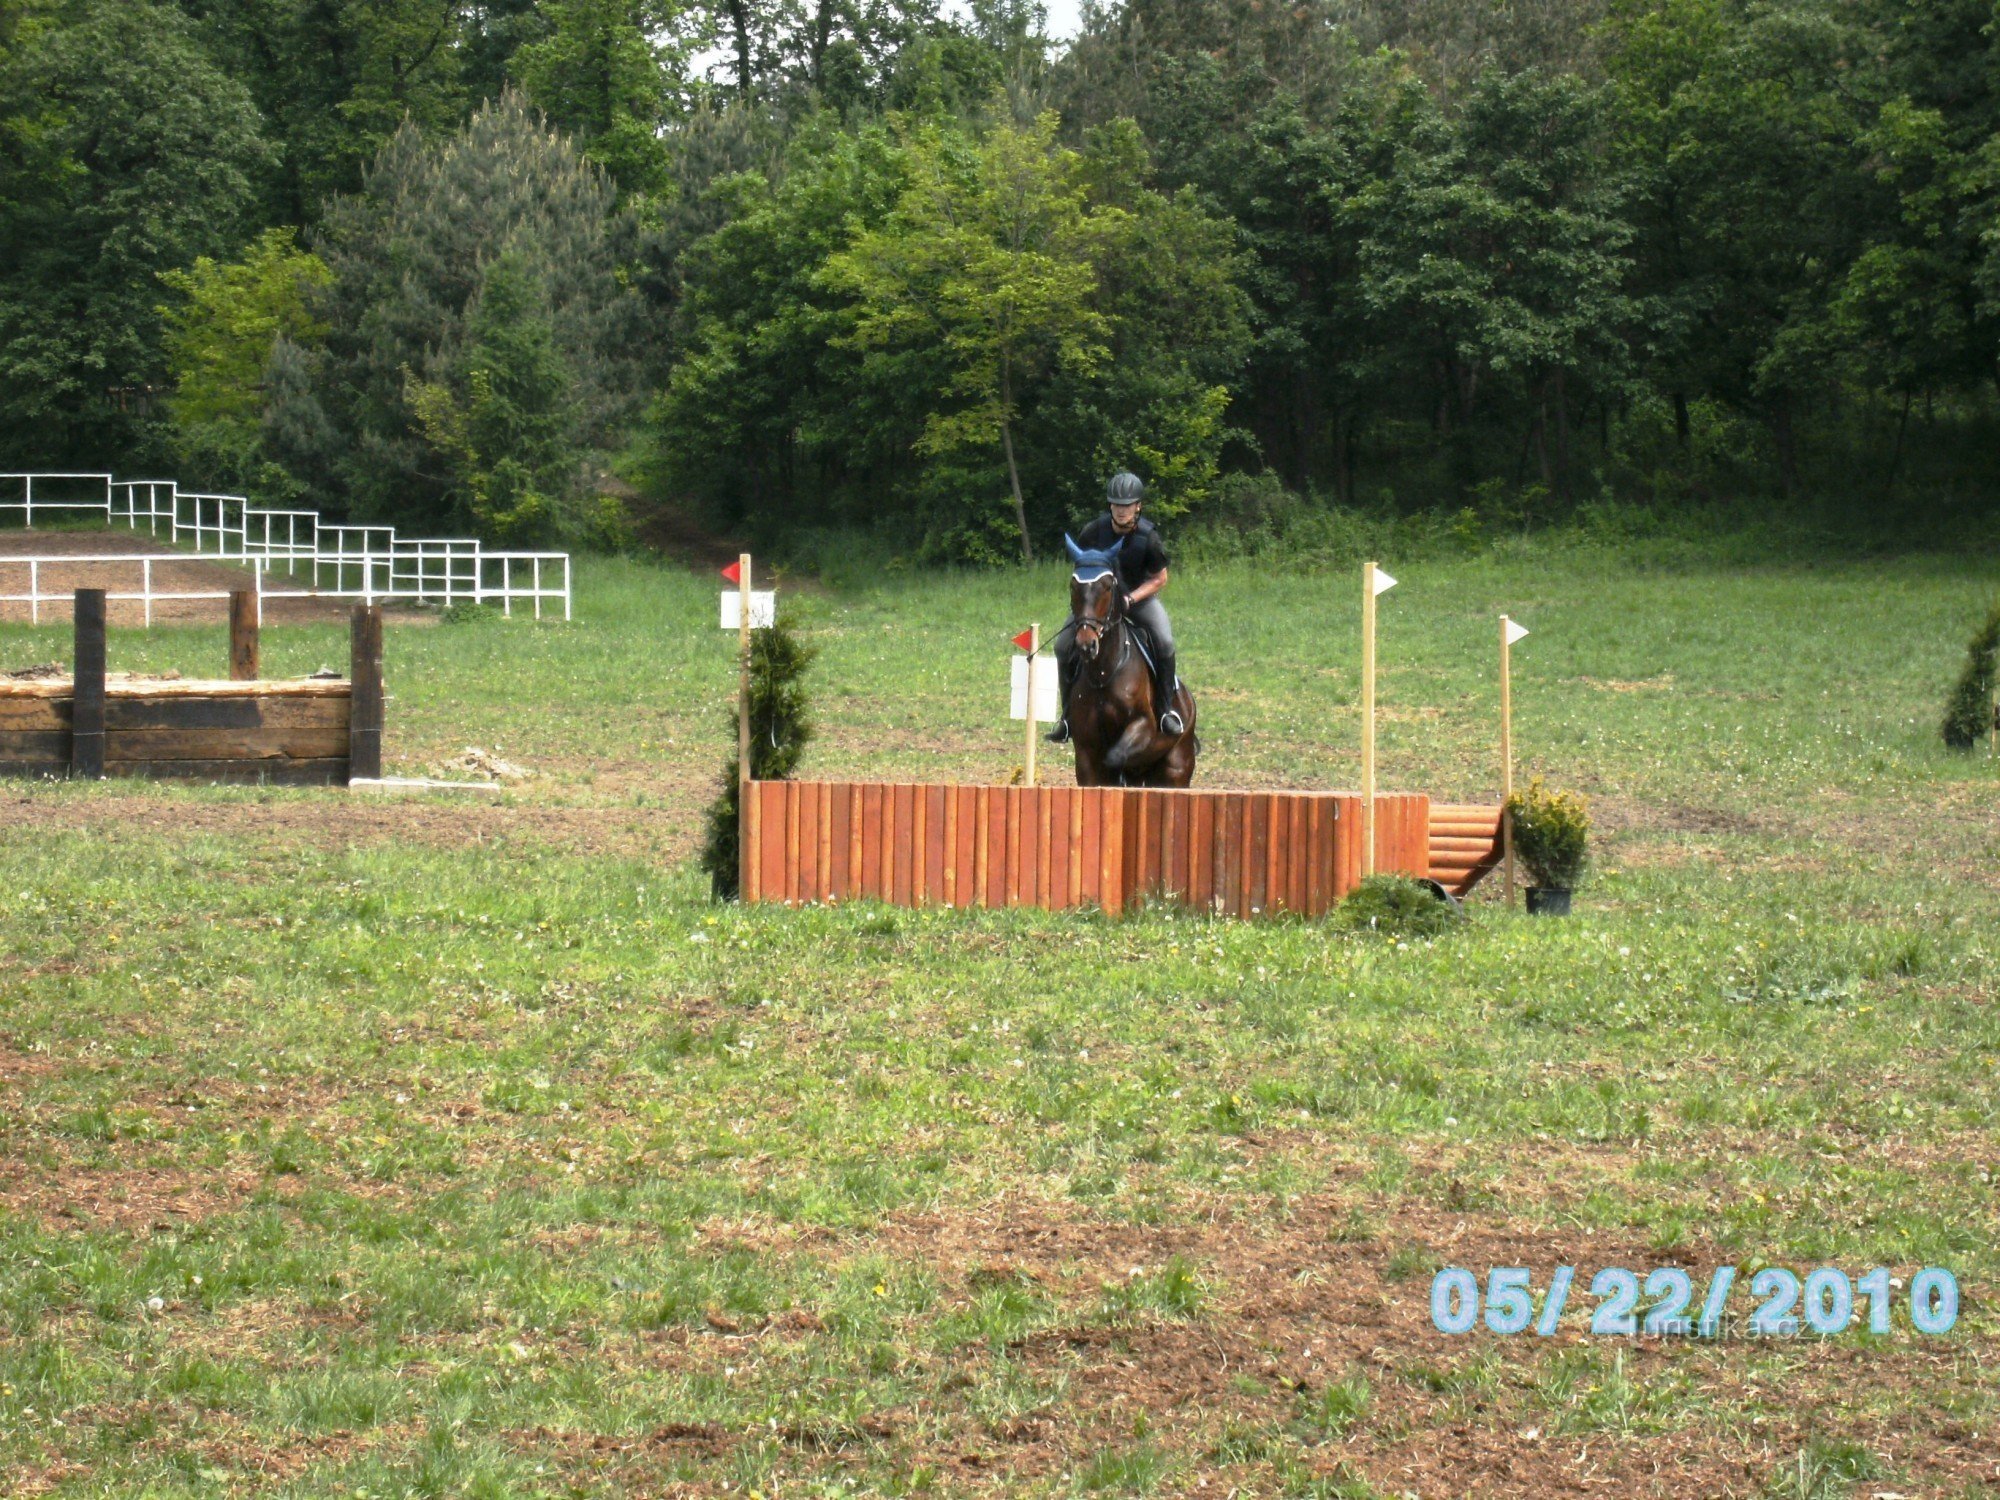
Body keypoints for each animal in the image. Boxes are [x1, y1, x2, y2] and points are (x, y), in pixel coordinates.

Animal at [1064, 536, 1200, 792]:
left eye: (1107, 586)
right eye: (1073, 586)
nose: (1086, 645)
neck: (1103, 673)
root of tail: (1189, 700)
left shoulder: (1143, 726)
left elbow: (1115, 757)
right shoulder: (1086, 751)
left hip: (1175, 770)